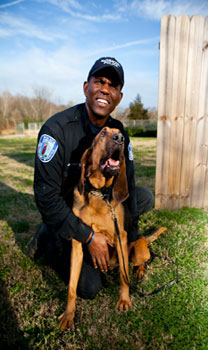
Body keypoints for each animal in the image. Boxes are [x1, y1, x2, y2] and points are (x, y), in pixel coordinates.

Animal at [59, 127, 132, 330]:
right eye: (103, 133)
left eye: (120, 132)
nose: (120, 138)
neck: (99, 194)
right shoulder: (76, 246)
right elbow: (71, 287)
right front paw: (69, 314)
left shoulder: (121, 238)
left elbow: (124, 276)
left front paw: (124, 300)